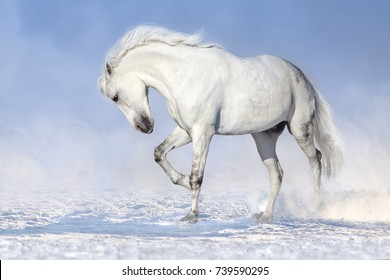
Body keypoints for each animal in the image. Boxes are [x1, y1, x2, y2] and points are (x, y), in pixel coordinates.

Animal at [99, 25, 342, 224]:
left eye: (115, 97)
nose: (145, 127)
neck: (185, 75)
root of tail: (303, 78)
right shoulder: (187, 132)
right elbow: (159, 153)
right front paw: (182, 181)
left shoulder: (203, 134)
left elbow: (197, 176)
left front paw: (191, 216)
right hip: (263, 138)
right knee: (277, 174)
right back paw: (265, 216)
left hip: (300, 131)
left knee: (316, 160)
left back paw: (315, 207)